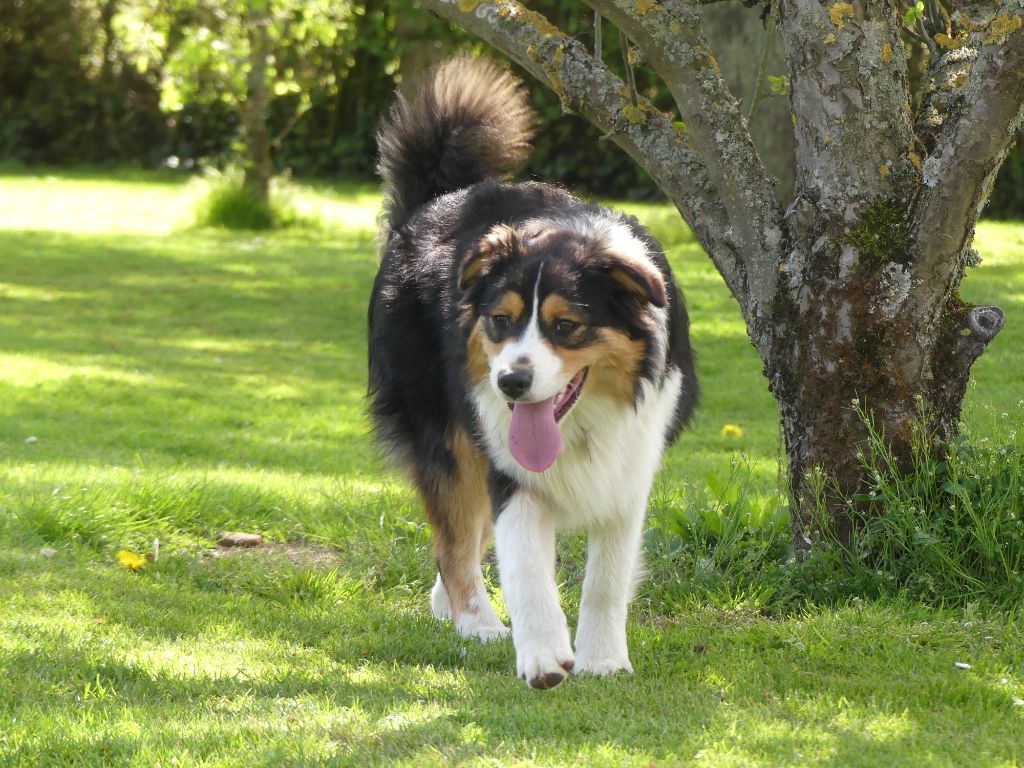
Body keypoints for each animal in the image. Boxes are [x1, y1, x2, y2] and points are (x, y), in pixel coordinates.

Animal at [368, 55, 696, 692]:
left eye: (566, 326)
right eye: (501, 320)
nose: (511, 384)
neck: (582, 424)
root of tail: (434, 199)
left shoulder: (630, 468)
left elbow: (608, 577)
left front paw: (603, 660)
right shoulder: (510, 470)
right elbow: (524, 568)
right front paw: (543, 654)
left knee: (463, 536)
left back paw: (450, 606)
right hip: (442, 431)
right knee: (453, 539)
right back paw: (476, 621)